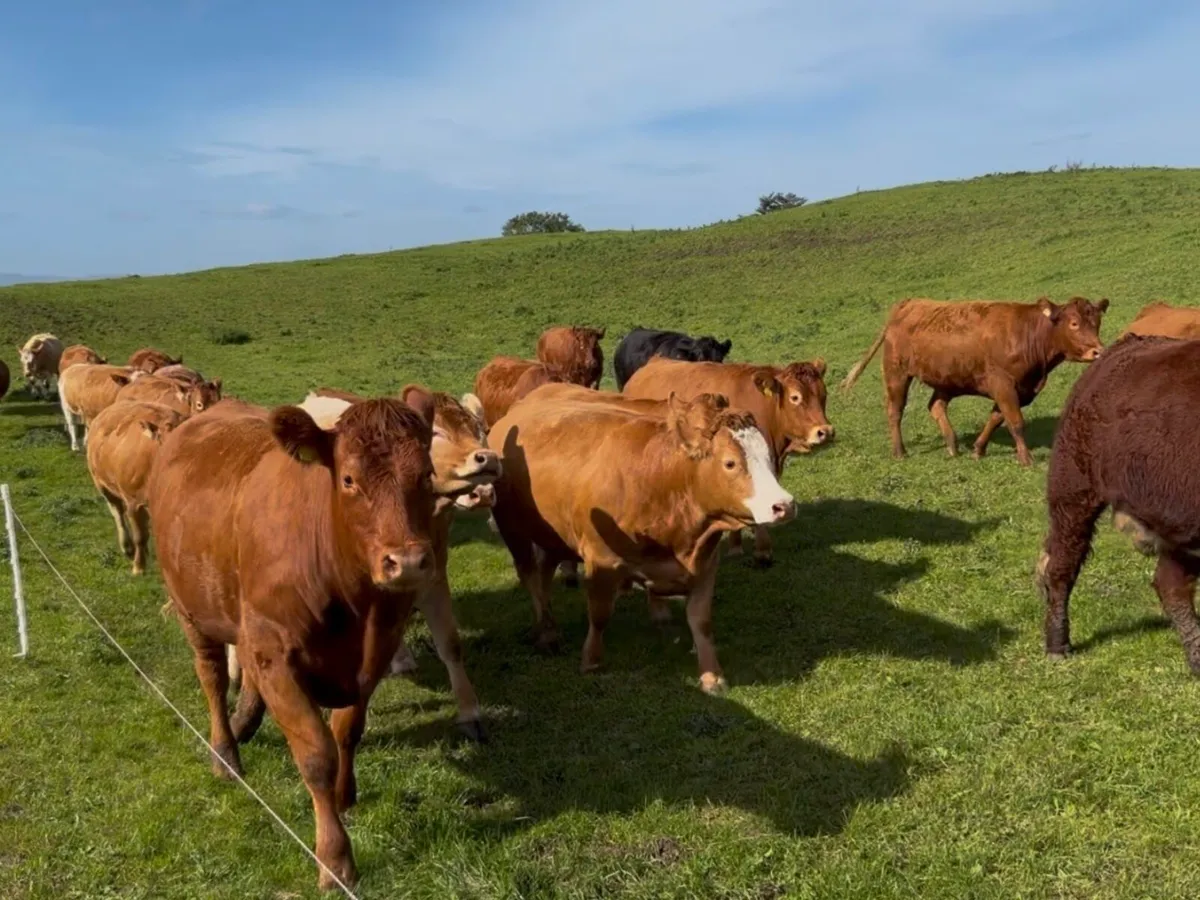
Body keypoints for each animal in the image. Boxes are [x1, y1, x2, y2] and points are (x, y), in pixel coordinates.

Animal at [86, 401, 186, 575]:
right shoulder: (133, 502)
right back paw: (128, 547)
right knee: (118, 512)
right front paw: (139, 567)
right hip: (103, 485)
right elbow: (140, 536)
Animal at [147, 390, 460, 891]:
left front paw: (345, 795)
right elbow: (316, 753)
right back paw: (226, 753)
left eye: (427, 475)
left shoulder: (374, 654)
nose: (409, 562)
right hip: (191, 609)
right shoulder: (276, 655)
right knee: (212, 677)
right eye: (349, 479)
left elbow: (347, 730)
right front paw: (334, 858)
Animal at [488, 382, 795, 692]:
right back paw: (547, 633)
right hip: (512, 528)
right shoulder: (601, 561)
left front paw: (712, 675)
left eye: (768, 457)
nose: (784, 505)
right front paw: (592, 662)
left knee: (544, 571)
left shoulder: (706, 562)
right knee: (529, 575)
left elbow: (701, 621)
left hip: (553, 535)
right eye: (730, 463)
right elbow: (600, 614)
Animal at [840, 296, 1109, 466]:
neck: (1026, 334)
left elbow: (996, 419)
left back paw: (952, 445)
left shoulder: (1019, 389)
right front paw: (1025, 458)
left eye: (1096, 323)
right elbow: (1015, 422)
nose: (1097, 351)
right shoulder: (1003, 385)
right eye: (1074, 323)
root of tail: (908, 303)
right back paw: (899, 451)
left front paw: (978, 450)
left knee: (936, 406)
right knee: (895, 411)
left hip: (947, 380)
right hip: (897, 373)